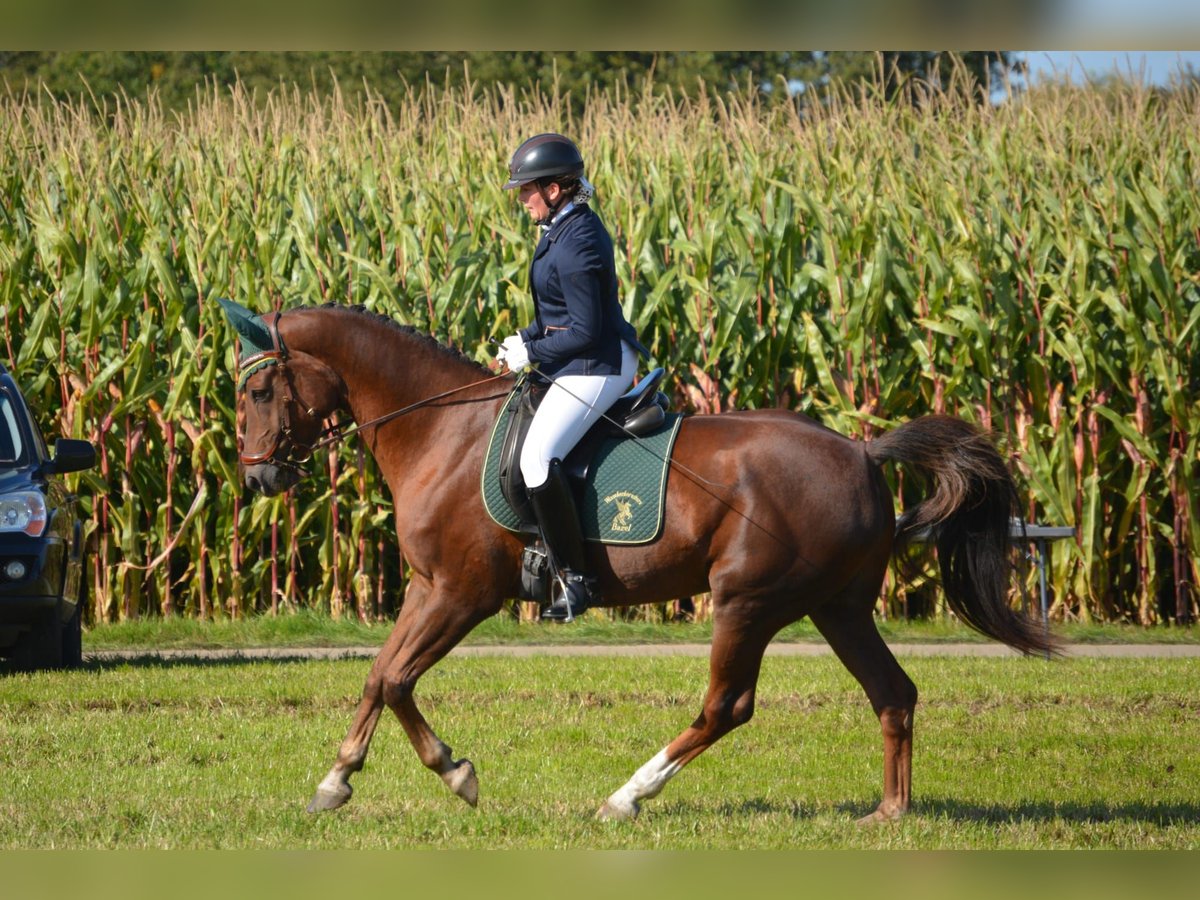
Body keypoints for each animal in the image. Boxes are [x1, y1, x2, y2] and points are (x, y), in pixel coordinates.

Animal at [220, 301, 1056, 825]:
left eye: (258, 391)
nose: (259, 479)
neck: (440, 431)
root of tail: (860, 452)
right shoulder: (428, 589)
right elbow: (378, 675)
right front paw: (335, 782)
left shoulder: (461, 592)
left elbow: (396, 679)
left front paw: (456, 774)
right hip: (838, 607)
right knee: (893, 693)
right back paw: (889, 811)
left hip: (746, 603)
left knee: (727, 706)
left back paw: (627, 796)